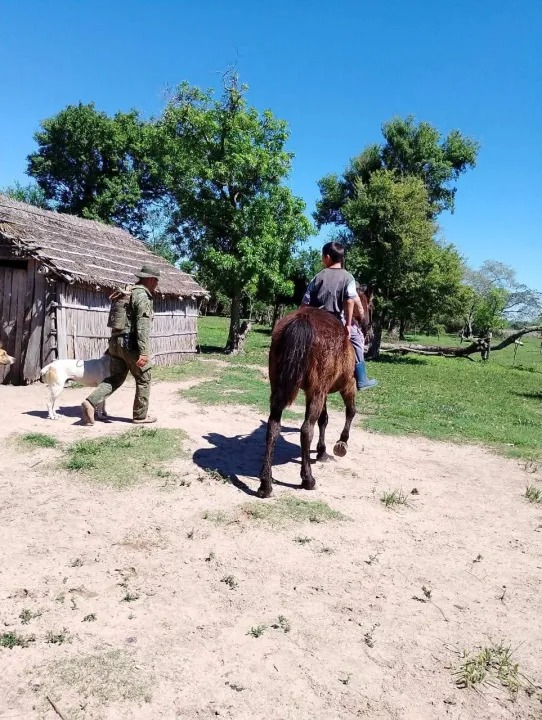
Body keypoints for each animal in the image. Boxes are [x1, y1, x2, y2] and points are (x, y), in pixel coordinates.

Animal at [258, 306, 358, 498]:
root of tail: (303, 319)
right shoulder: (348, 384)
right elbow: (350, 411)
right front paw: (342, 443)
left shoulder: (320, 392)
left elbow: (324, 420)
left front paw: (322, 451)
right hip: (317, 390)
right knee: (306, 430)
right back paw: (308, 479)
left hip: (279, 387)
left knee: (273, 426)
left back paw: (265, 483)